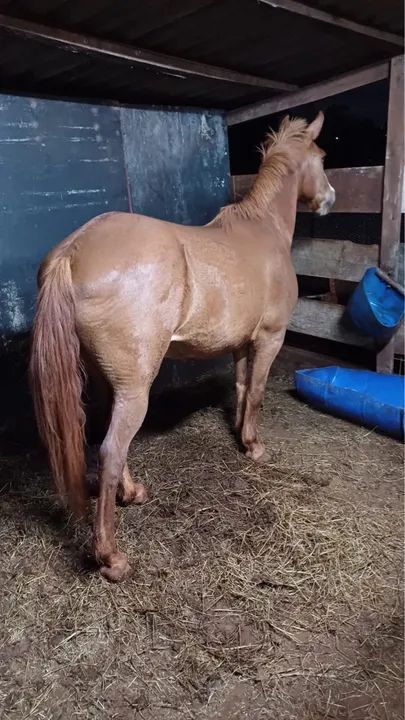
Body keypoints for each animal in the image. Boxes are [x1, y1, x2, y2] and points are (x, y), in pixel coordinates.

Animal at [30, 111, 335, 582]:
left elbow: (242, 388)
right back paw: (111, 557)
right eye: (321, 157)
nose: (329, 199)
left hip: (108, 380)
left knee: (105, 439)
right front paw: (254, 447)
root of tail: (72, 251)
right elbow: (258, 392)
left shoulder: (240, 343)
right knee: (112, 450)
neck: (262, 231)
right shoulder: (270, 337)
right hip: (136, 387)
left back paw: (132, 492)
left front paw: (238, 434)